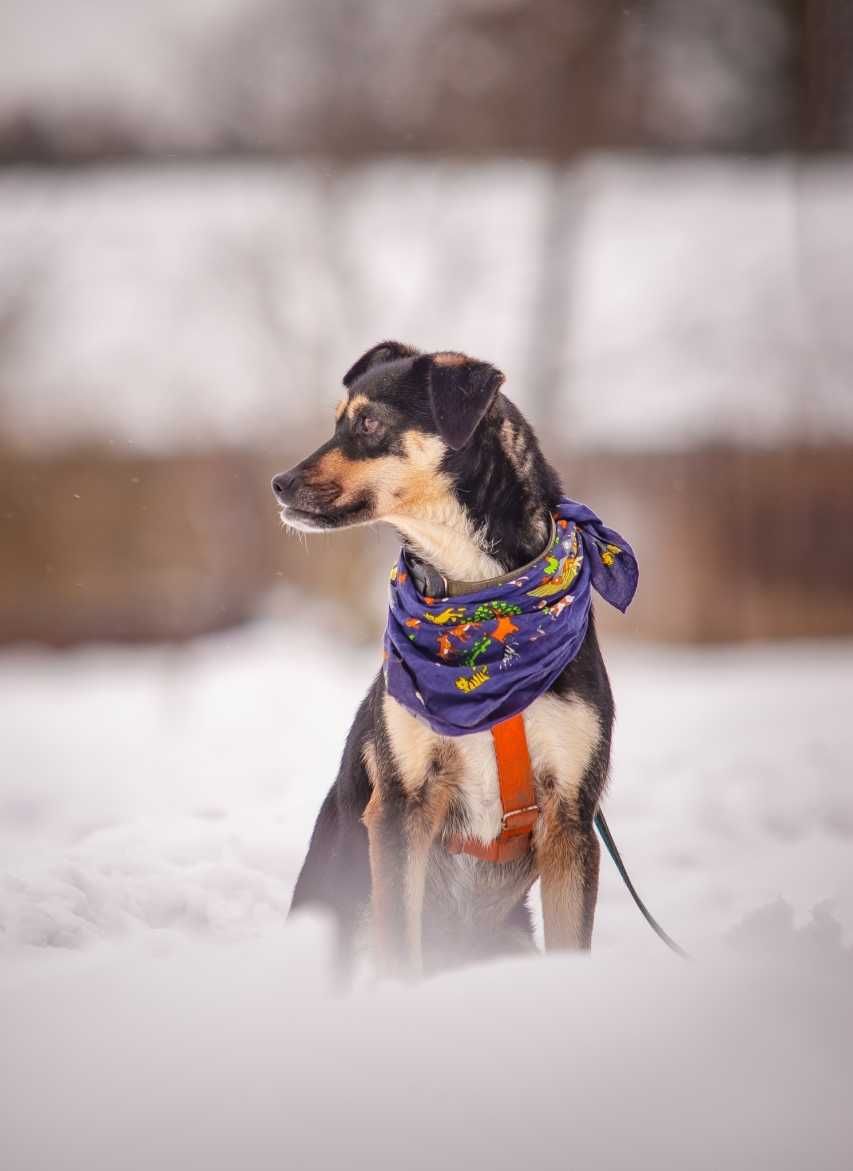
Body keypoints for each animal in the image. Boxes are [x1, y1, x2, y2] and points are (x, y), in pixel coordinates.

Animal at [275, 341, 618, 978]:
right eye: (337, 421)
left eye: (368, 424)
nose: (278, 484)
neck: (475, 596)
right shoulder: (400, 804)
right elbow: (397, 952)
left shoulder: (570, 817)